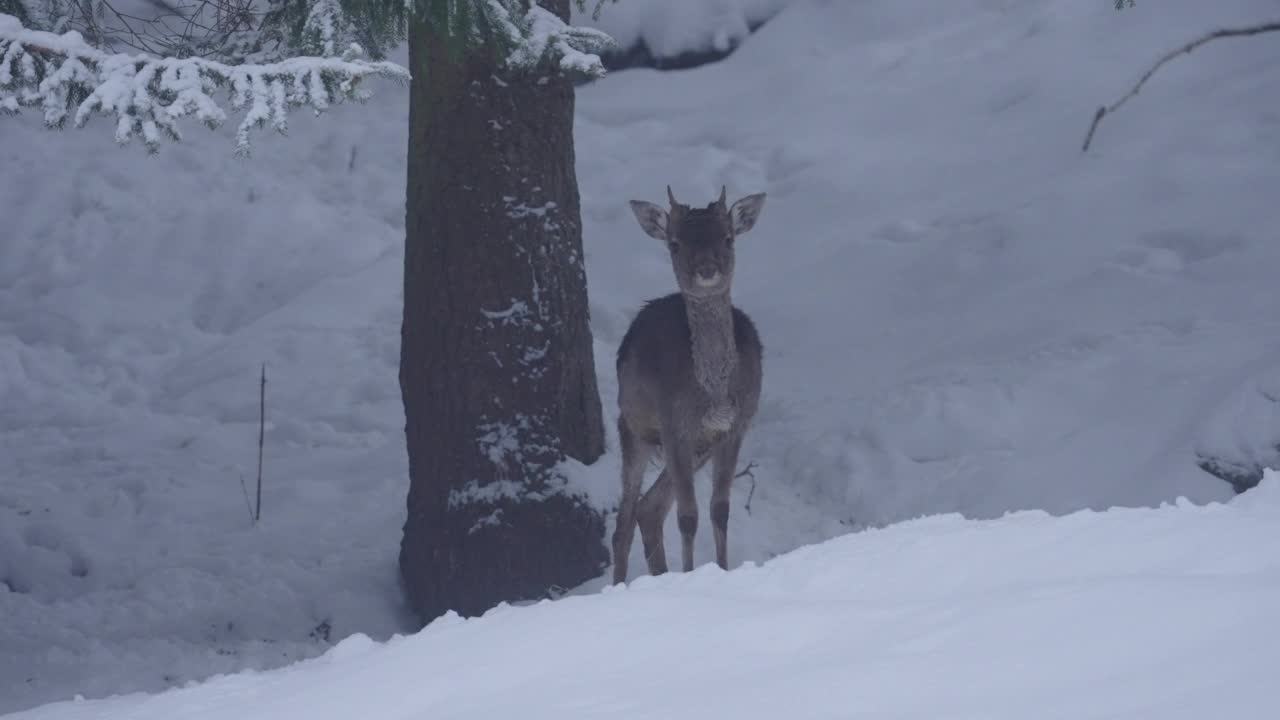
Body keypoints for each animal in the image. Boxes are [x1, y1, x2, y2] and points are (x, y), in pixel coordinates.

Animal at [611, 183, 762, 584]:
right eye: (675, 243)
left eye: (728, 238)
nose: (707, 269)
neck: (714, 393)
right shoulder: (673, 422)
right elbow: (688, 516)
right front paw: (693, 575)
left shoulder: (735, 427)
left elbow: (719, 509)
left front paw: (721, 570)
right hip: (631, 424)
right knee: (625, 519)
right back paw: (621, 585)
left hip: (697, 447)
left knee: (649, 508)